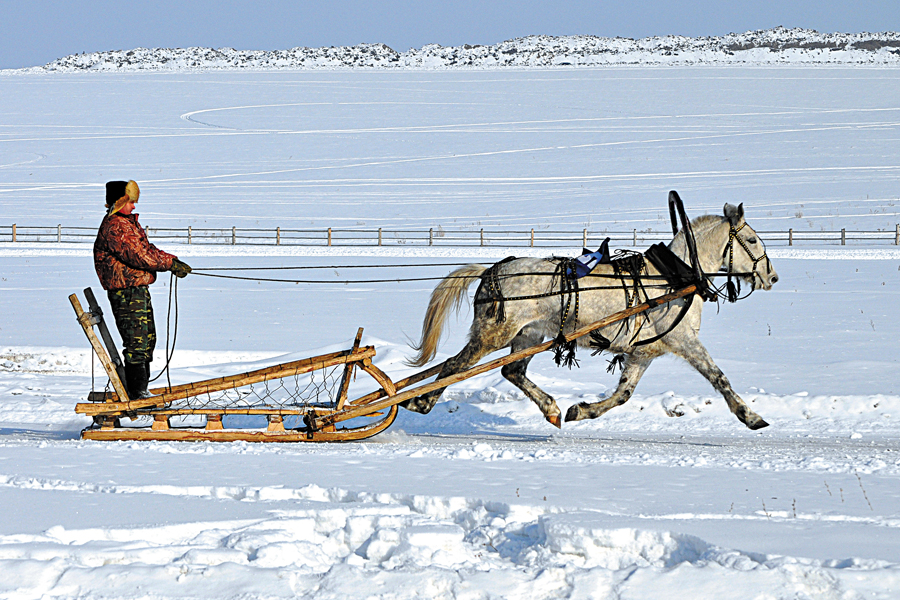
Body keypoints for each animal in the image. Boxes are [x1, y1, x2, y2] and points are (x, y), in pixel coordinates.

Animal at [404, 202, 776, 432]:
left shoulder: (643, 351)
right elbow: (719, 378)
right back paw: (421, 401)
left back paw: (552, 409)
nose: (771, 276)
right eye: (753, 239)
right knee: (454, 366)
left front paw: (581, 410)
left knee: (512, 371)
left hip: (528, 335)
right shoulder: (683, 340)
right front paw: (750, 416)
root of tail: (493, 269)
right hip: (494, 333)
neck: (674, 276)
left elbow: (623, 394)